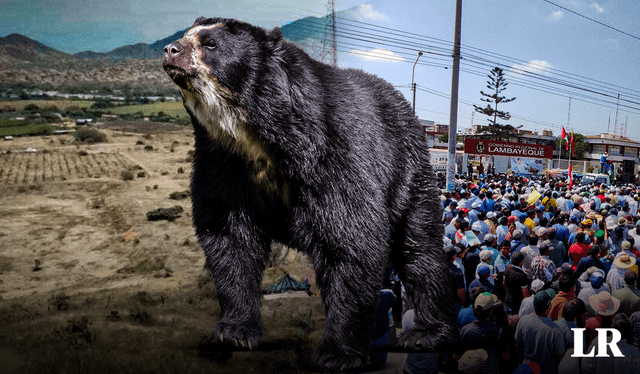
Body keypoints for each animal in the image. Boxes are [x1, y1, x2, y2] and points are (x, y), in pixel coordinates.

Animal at [164, 16, 456, 370]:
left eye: (210, 43)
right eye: (185, 35)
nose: (170, 50)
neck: (257, 134)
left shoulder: (333, 151)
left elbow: (351, 239)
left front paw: (336, 354)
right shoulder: (224, 162)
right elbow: (229, 235)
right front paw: (233, 331)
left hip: (407, 171)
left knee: (418, 246)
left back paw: (425, 333)